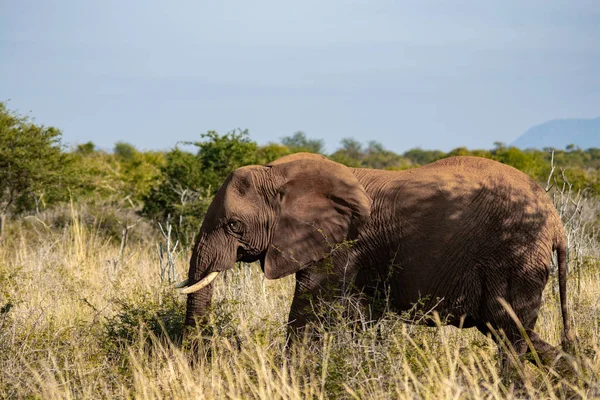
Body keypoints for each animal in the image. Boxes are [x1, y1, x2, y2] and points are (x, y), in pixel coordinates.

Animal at [177, 153, 572, 368]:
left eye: (234, 225)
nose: (198, 363)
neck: (279, 173)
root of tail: (556, 221)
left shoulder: (340, 247)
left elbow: (307, 315)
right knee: (519, 336)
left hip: (515, 257)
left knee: (511, 336)